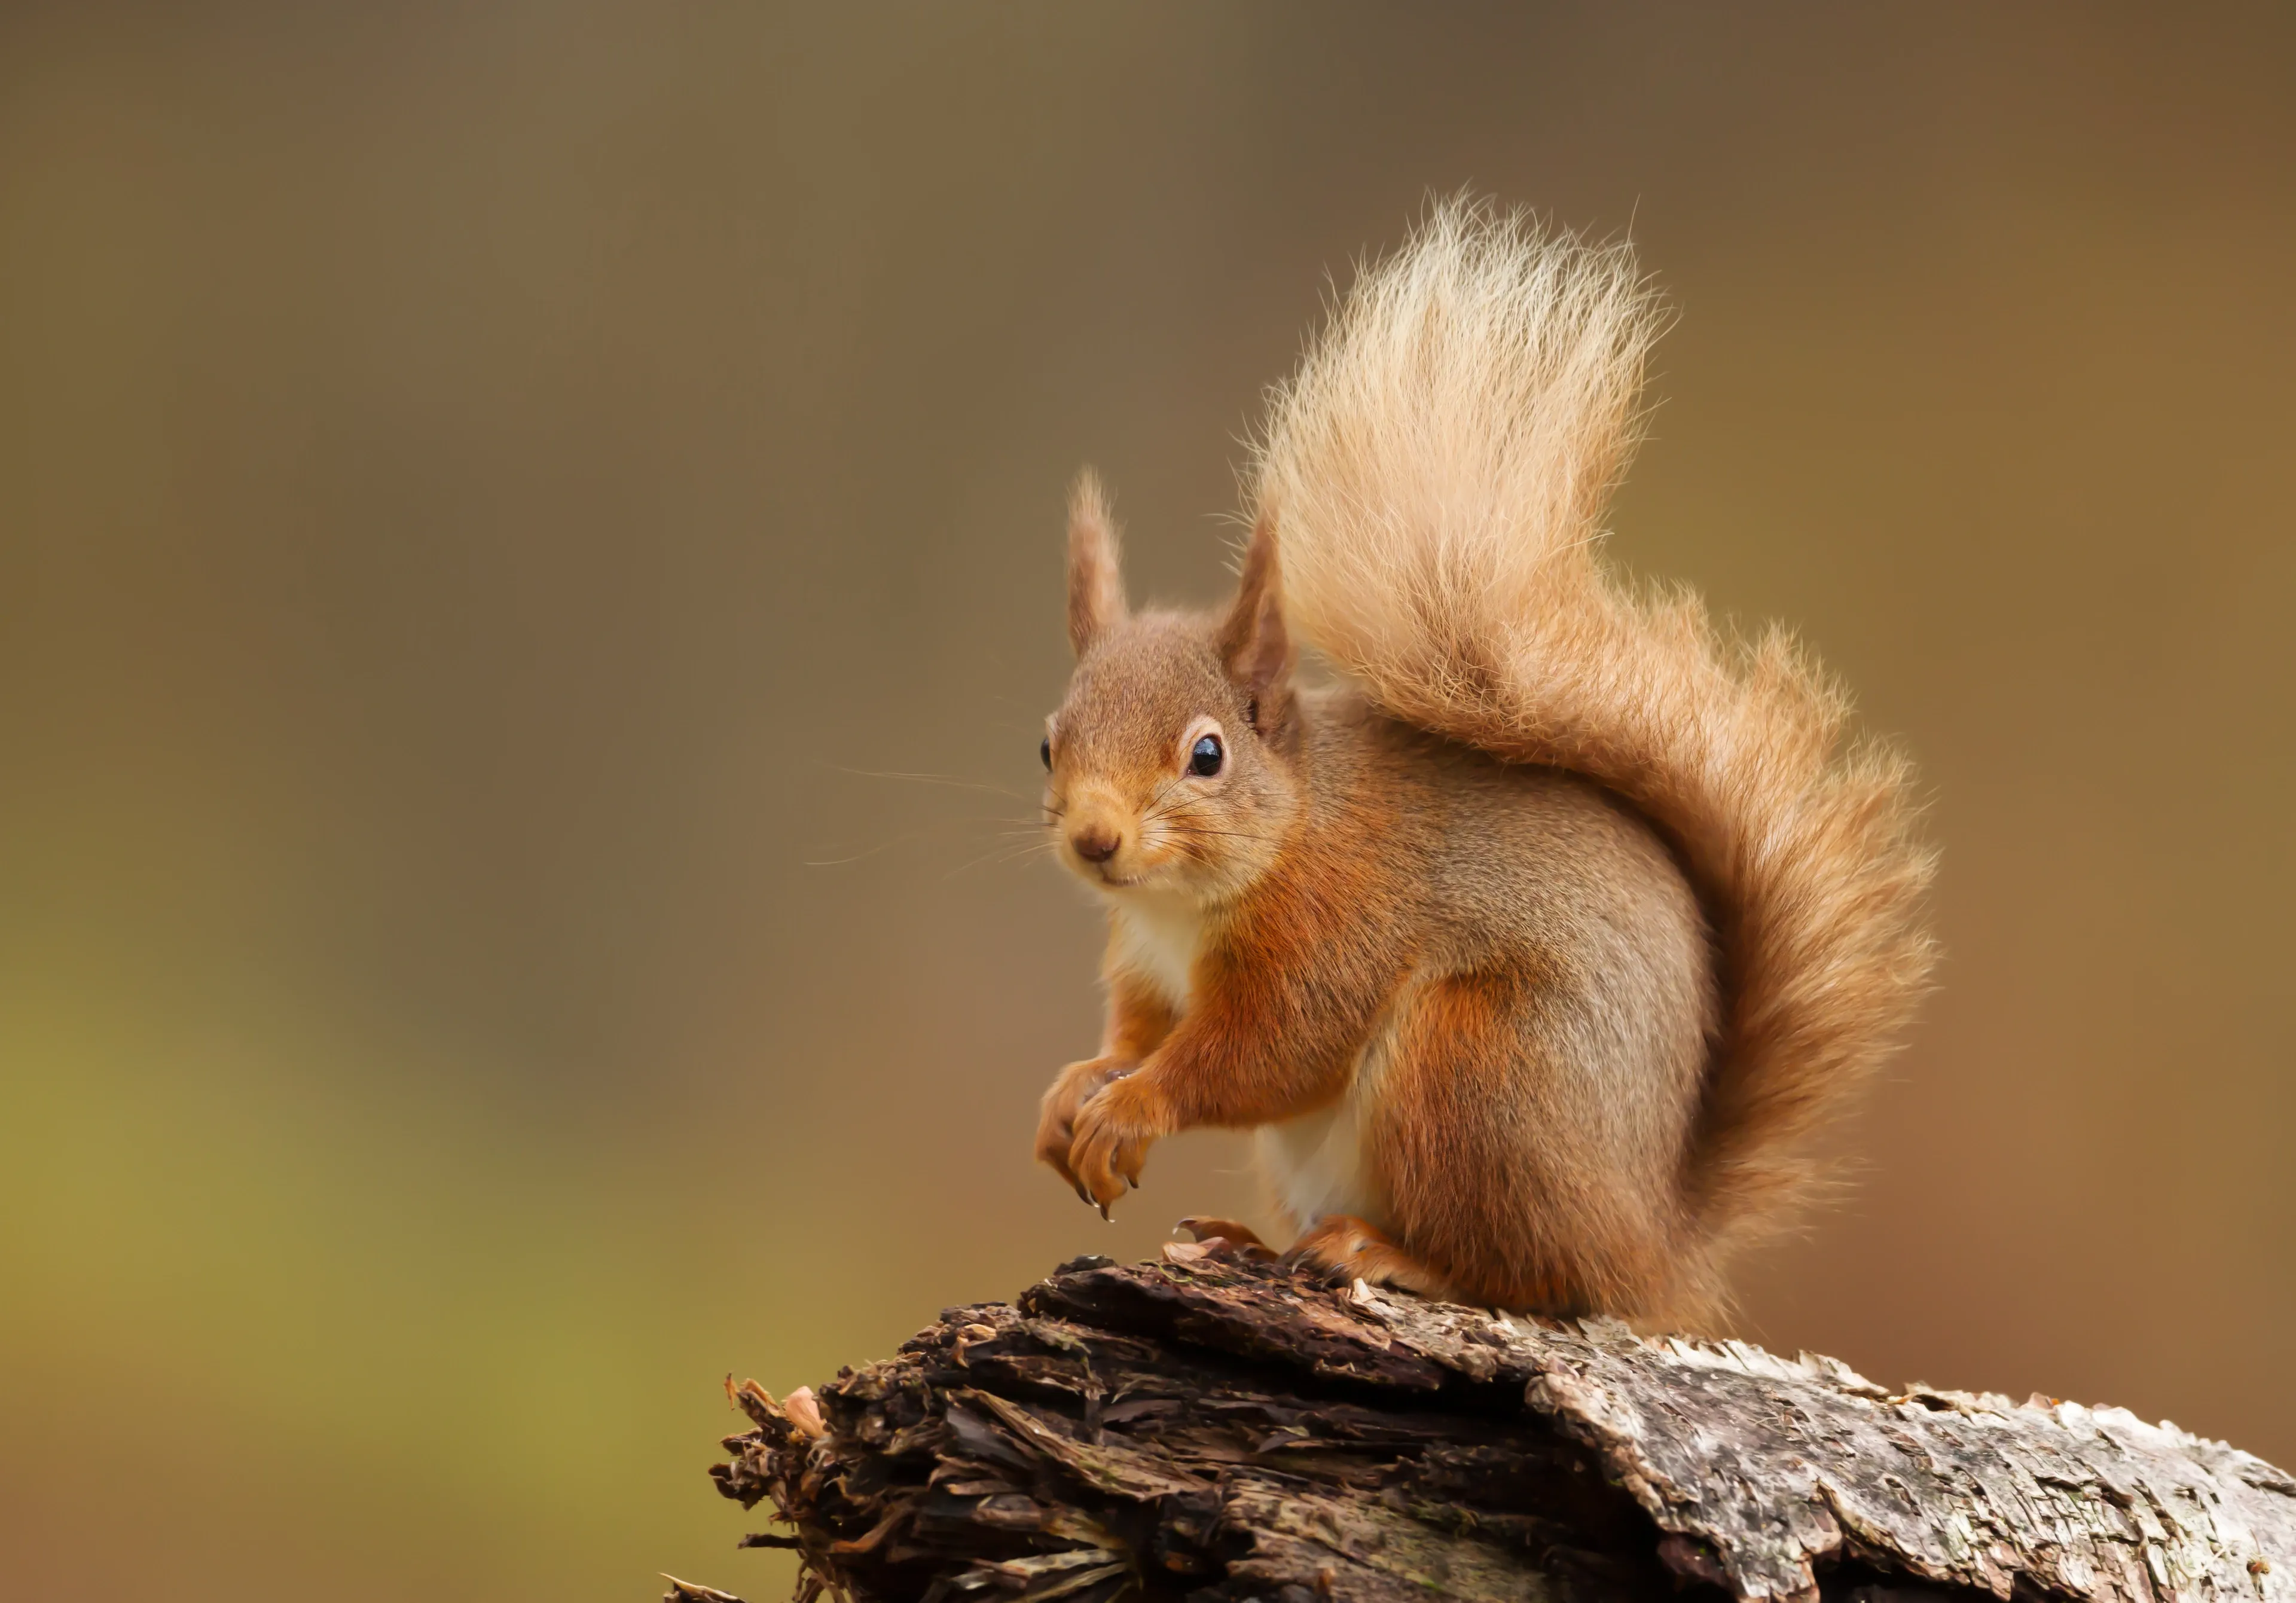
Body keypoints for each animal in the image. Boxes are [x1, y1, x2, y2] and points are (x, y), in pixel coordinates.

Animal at [1030, 198, 1936, 1329]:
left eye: (1207, 754)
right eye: (1047, 741)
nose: (1095, 840)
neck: (1193, 899)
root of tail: (1656, 1242)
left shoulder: (1333, 930)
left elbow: (1268, 1054)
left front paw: (1136, 1105)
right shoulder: (1149, 968)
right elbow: (1138, 1033)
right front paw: (1076, 1086)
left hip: (1476, 1069)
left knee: (1530, 1275)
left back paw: (1387, 1255)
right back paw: (1250, 1238)